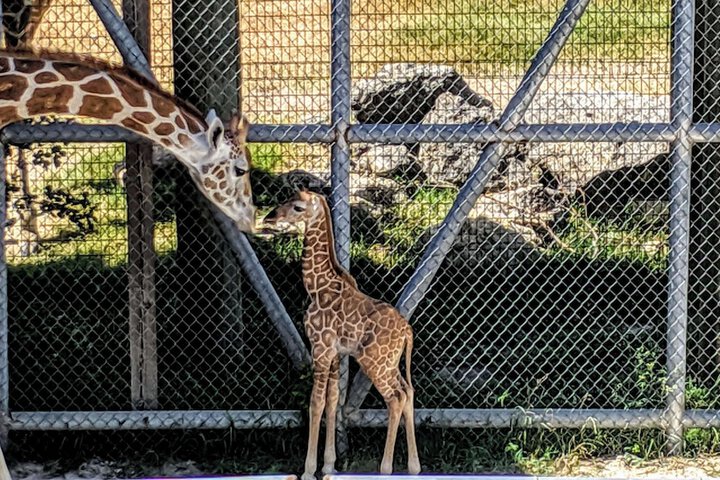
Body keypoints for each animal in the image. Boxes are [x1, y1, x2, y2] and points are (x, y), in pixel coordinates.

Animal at [264, 191, 422, 480]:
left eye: (298, 207)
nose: (270, 217)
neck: (316, 287)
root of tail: (407, 331)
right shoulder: (337, 353)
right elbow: (332, 400)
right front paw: (328, 465)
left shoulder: (320, 347)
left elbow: (315, 402)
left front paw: (309, 470)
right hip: (391, 363)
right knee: (408, 391)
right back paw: (414, 467)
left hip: (374, 363)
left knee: (396, 398)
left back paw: (385, 468)